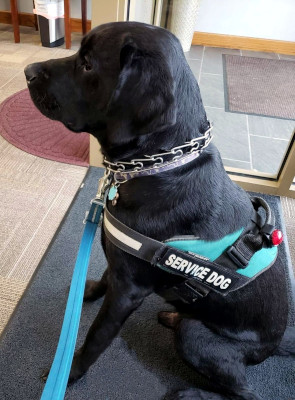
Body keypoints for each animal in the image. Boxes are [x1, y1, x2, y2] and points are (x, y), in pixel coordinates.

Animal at [24, 22, 292, 400]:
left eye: (88, 64)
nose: (27, 71)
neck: (158, 167)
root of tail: (275, 344)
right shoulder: (122, 268)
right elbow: (104, 276)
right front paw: (85, 293)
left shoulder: (128, 291)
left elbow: (95, 338)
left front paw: (71, 372)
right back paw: (171, 317)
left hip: (197, 337)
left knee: (246, 392)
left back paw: (190, 393)